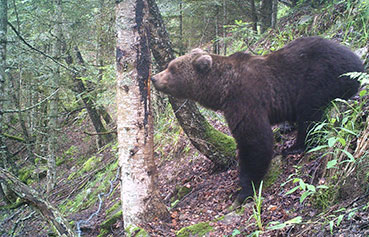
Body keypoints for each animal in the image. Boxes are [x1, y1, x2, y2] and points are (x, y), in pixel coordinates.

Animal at [150, 36, 362, 203]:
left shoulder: (245, 99)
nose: (153, 78)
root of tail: (356, 59)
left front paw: (244, 190)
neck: (222, 89)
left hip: (321, 75)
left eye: (171, 68)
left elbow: (255, 141)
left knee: (309, 111)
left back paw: (295, 146)